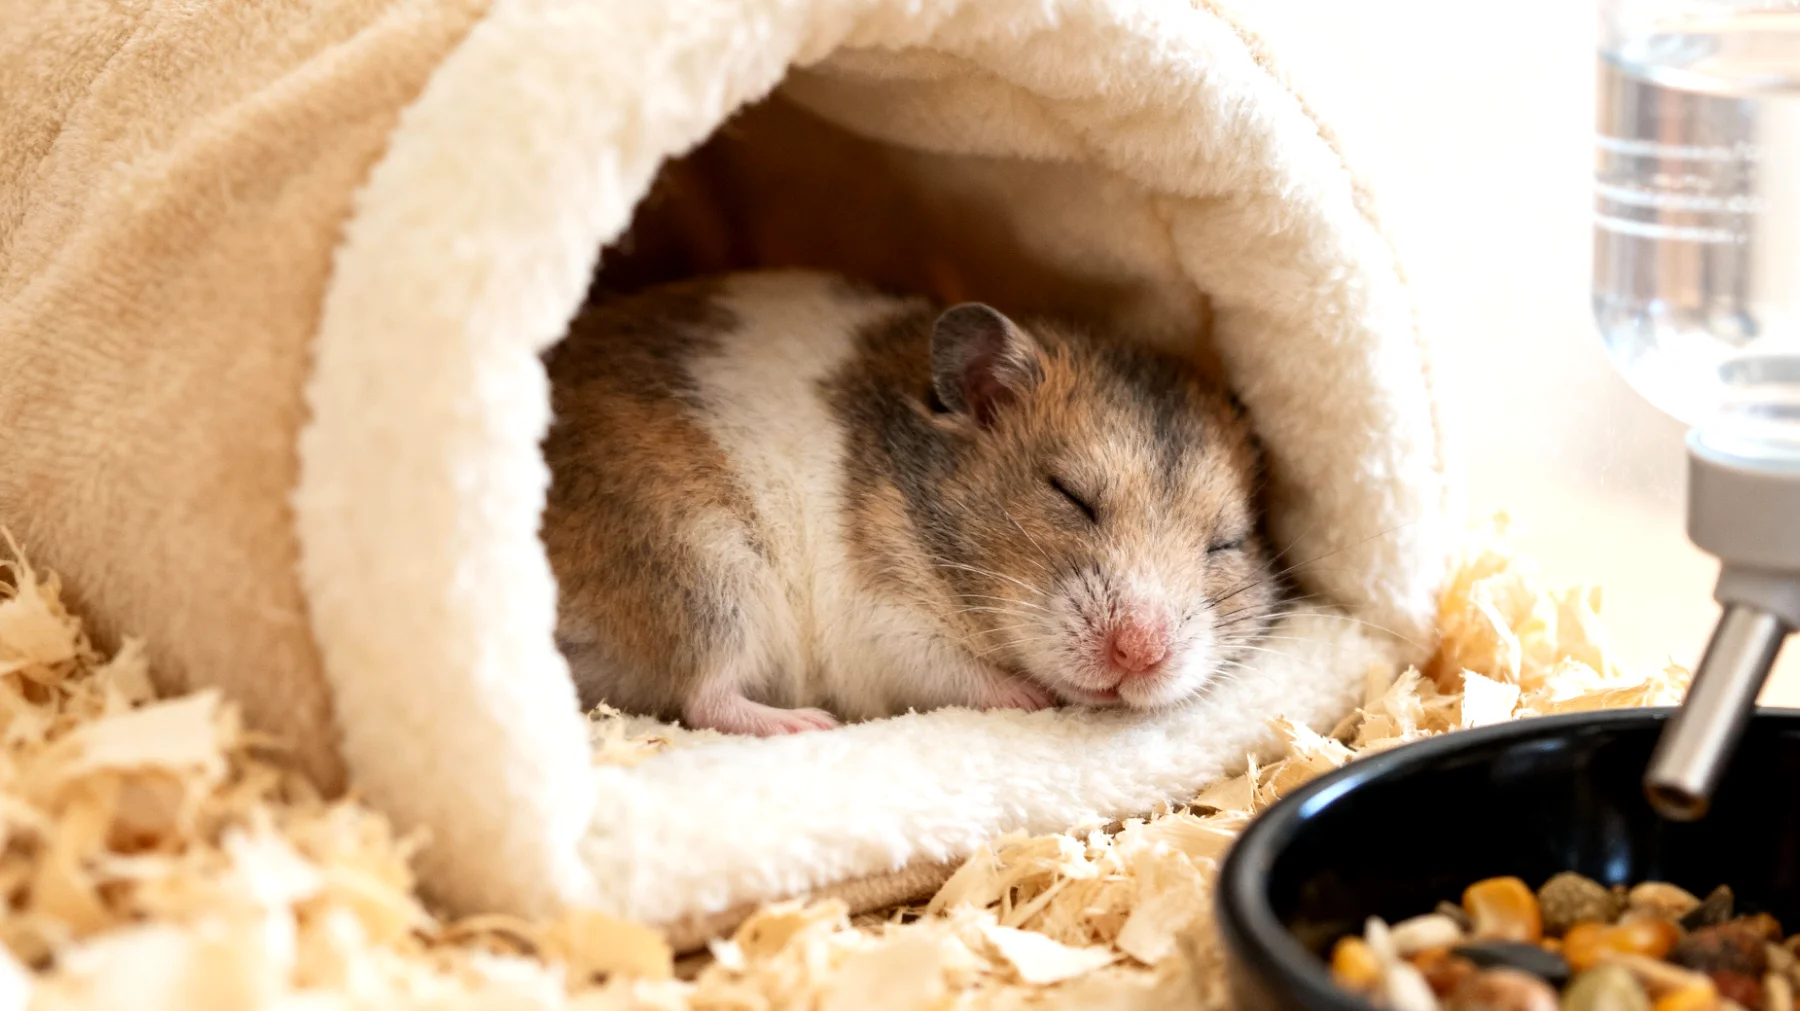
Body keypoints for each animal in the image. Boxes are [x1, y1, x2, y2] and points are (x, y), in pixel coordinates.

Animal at [540, 270, 1281, 737]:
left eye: (1226, 544)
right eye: (1069, 495)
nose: (1139, 656)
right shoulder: (883, 621)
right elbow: (957, 674)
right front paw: (1036, 695)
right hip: (704, 566)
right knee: (704, 694)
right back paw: (803, 724)